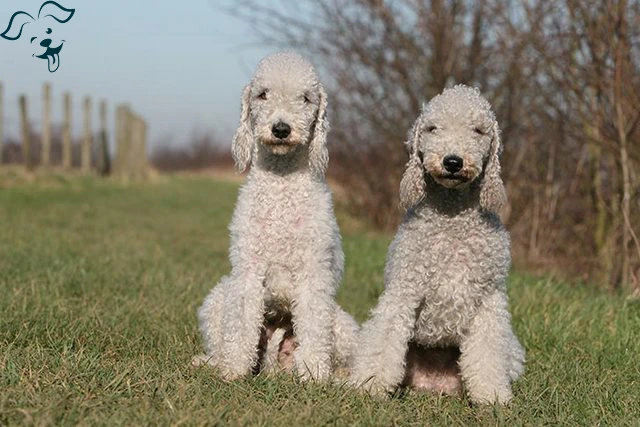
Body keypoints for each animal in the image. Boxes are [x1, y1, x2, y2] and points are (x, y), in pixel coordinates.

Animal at [192, 51, 358, 382]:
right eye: (262, 94)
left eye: (306, 98)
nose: (281, 129)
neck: (281, 185)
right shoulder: (248, 269)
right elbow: (242, 322)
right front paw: (234, 370)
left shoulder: (313, 271)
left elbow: (314, 325)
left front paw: (313, 374)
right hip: (219, 297)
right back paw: (212, 362)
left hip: (342, 324)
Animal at [350, 84, 524, 404]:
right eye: (432, 128)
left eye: (478, 130)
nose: (452, 161)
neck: (451, 215)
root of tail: (433, 383)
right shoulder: (404, 289)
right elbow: (384, 338)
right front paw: (370, 386)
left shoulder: (489, 300)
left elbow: (487, 353)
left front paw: (492, 397)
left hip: (513, 349)